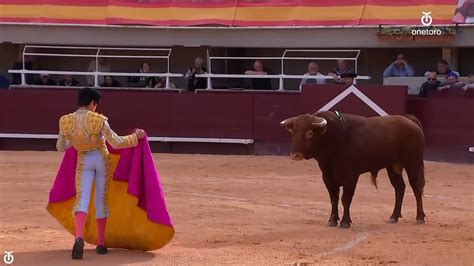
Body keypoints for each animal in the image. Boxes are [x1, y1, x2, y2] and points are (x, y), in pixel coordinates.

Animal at [280, 111, 428, 228]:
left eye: (309, 133)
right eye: (293, 133)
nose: (295, 155)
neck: (333, 139)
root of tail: (410, 120)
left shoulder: (350, 178)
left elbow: (345, 199)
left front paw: (345, 222)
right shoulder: (327, 178)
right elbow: (334, 199)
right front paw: (332, 220)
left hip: (413, 164)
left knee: (416, 188)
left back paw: (420, 217)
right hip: (392, 166)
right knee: (399, 188)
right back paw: (394, 217)